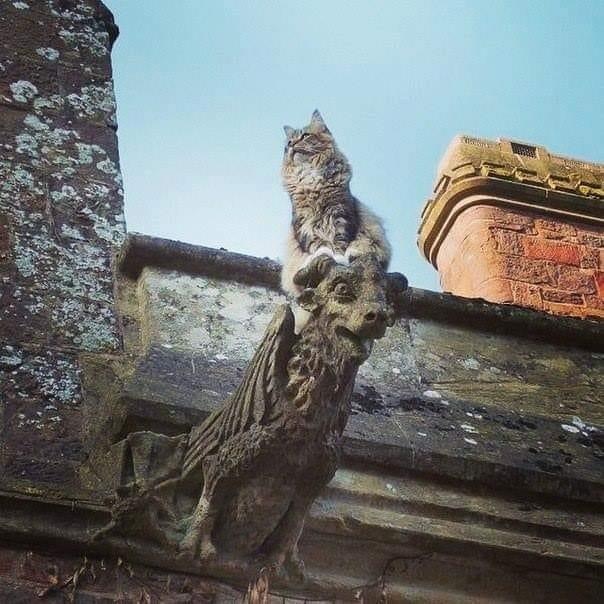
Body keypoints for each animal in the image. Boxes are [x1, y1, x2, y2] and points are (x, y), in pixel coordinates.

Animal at [280, 109, 390, 298]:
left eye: (304, 136)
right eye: (288, 143)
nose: (292, 145)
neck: (310, 176)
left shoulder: (340, 213)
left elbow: (340, 242)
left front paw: (338, 258)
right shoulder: (304, 222)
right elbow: (317, 245)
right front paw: (323, 254)